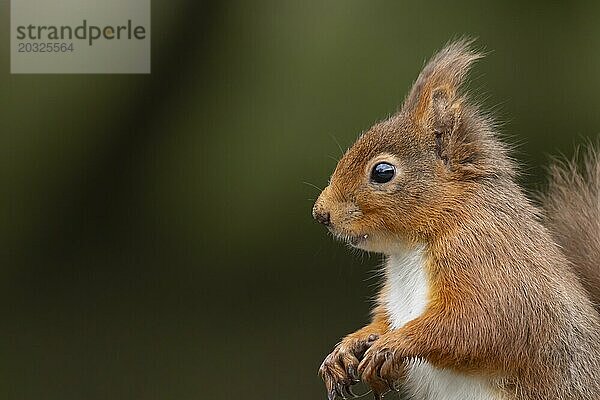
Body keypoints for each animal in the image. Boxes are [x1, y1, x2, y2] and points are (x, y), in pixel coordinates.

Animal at [312, 38, 600, 400]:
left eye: (382, 172)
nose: (321, 214)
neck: (412, 247)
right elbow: (383, 320)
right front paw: (349, 346)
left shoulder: (488, 261)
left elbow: (481, 323)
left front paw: (395, 342)